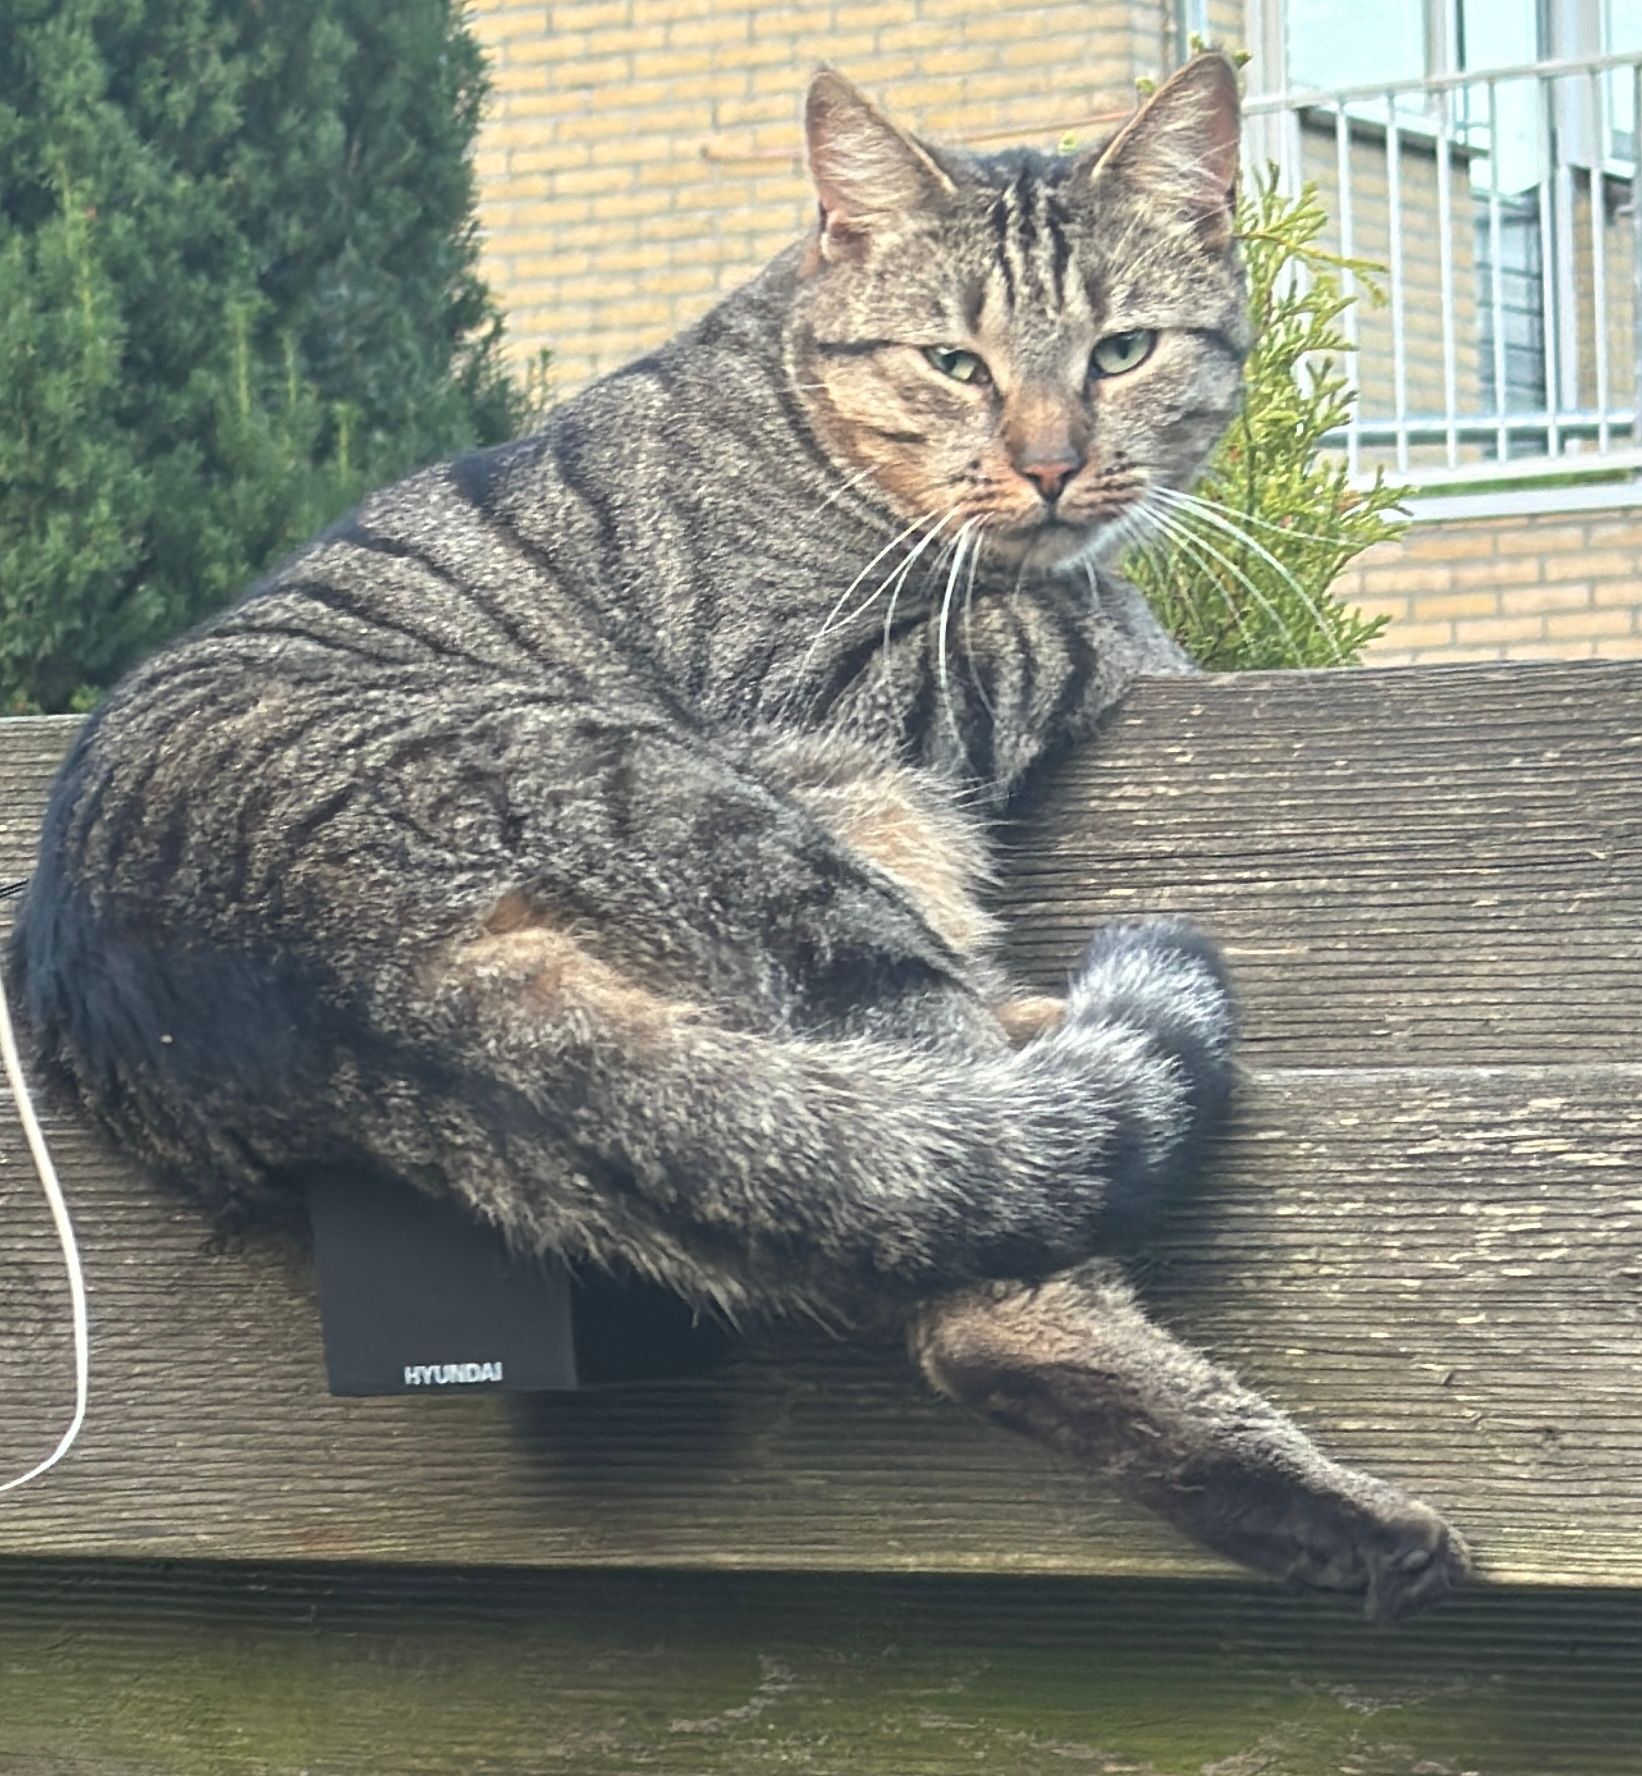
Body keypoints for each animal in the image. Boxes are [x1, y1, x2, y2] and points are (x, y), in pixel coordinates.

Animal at [9, 52, 1468, 1619]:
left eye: (1121, 352)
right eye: (954, 363)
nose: (1051, 465)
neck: (791, 392)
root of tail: (307, 945)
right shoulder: (829, 684)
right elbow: (1068, 619)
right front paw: (1140, 623)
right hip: (759, 841)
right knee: (983, 1281)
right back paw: (1356, 1519)